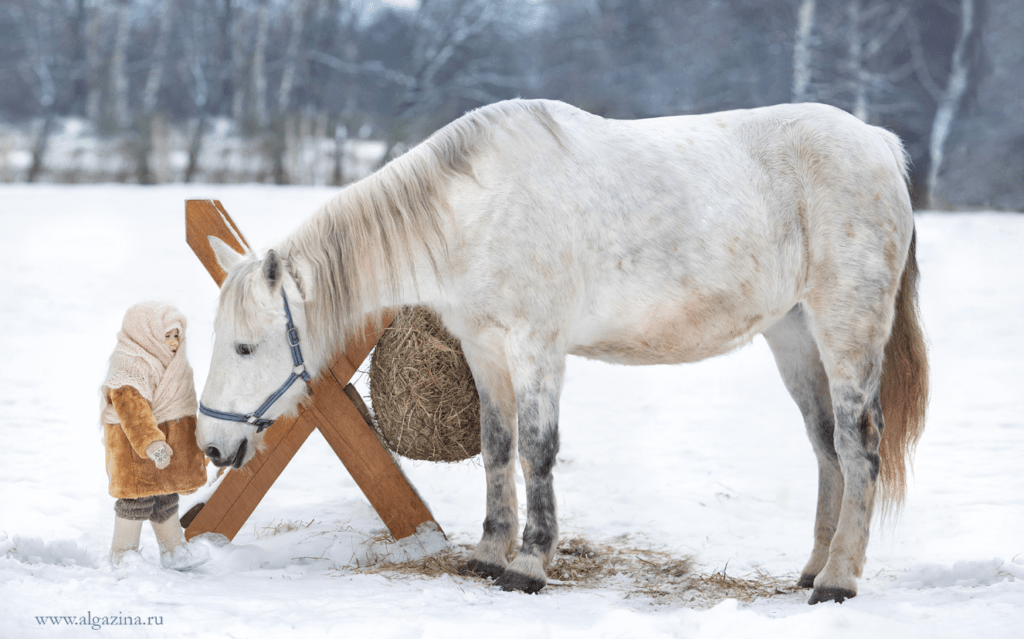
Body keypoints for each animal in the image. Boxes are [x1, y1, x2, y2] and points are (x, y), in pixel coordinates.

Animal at [197, 98, 929, 602]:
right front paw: (489, 553)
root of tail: (879, 144)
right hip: (795, 337)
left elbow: (537, 450)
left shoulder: (537, 347)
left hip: (847, 332)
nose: (210, 445)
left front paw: (529, 563)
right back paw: (813, 567)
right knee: (826, 448)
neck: (476, 211)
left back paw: (838, 580)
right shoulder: (484, 349)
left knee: (859, 445)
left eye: (244, 347)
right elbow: (497, 448)